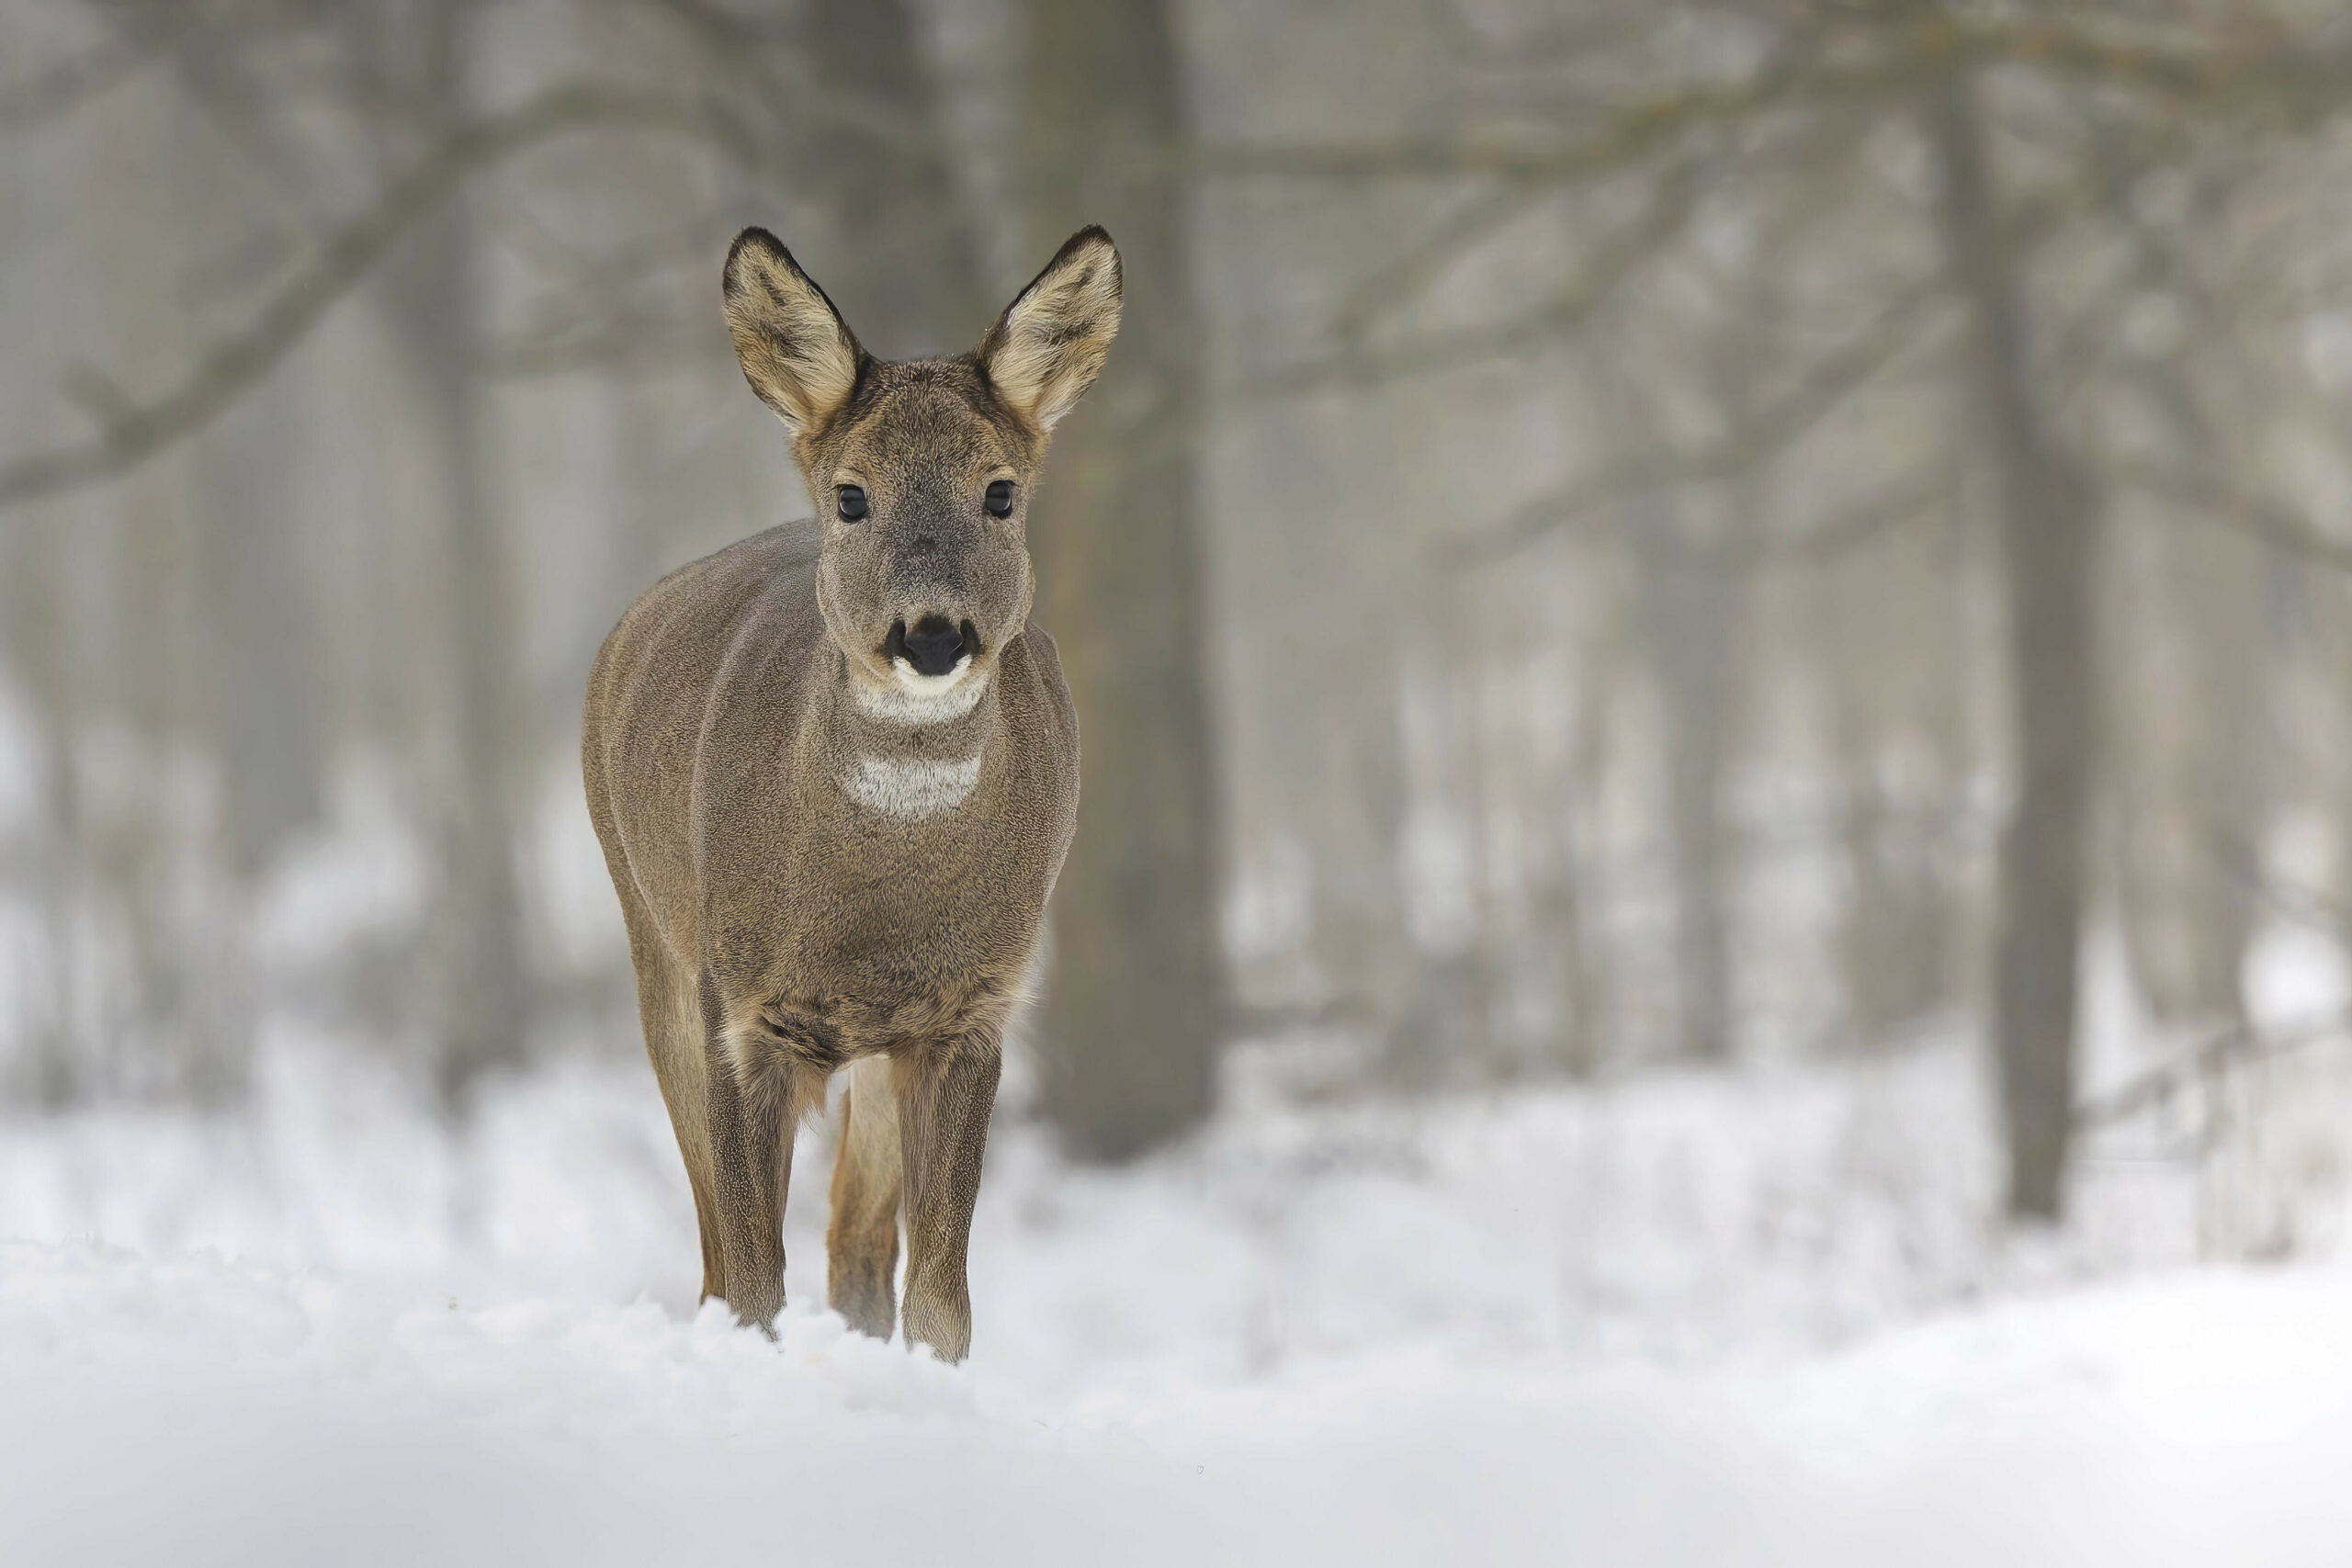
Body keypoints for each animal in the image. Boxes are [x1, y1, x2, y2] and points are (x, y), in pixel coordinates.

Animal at [580, 224, 1120, 1363]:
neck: (877, 907)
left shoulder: (970, 1008)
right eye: (851, 494)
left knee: (856, 1253)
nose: (932, 634)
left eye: (1000, 490)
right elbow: (750, 1282)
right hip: (654, 946)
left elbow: (941, 1300)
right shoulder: (740, 1007)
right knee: (714, 1259)